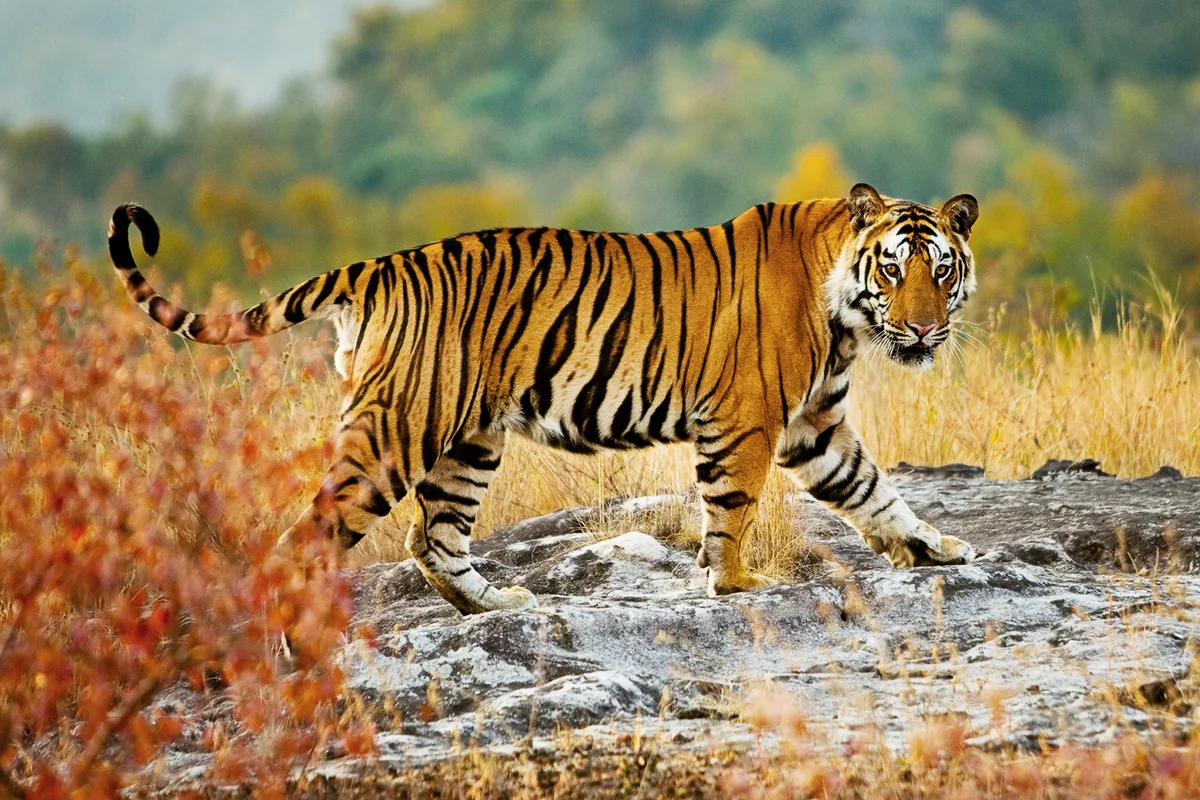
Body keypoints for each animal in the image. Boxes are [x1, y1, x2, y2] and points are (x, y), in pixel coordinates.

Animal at [108, 182, 980, 615]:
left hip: (467, 440)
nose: (922, 330)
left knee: (433, 538)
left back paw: (497, 605)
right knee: (308, 538)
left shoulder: (814, 425)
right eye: (893, 269)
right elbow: (732, 511)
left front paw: (933, 548)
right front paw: (734, 586)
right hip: (397, 431)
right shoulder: (747, 421)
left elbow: (873, 489)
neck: (846, 317)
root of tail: (379, 266)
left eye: (941, 272)